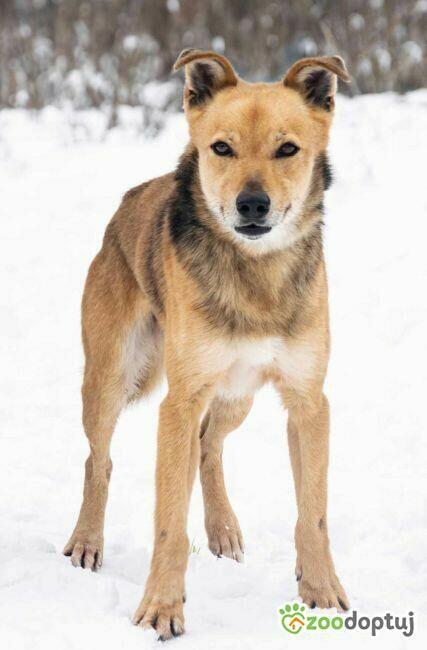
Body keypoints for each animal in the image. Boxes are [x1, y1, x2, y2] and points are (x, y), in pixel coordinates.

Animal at [63, 48, 352, 636]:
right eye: (222, 148)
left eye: (287, 149)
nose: (252, 205)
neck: (256, 277)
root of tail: (129, 200)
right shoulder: (180, 400)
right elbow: (169, 523)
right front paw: (161, 608)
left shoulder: (308, 402)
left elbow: (313, 513)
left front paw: (321, 590)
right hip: (110, 377)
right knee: (98, 461)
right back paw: (86, 542)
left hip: (239, 393)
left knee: (209, 446)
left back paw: (222, 529)